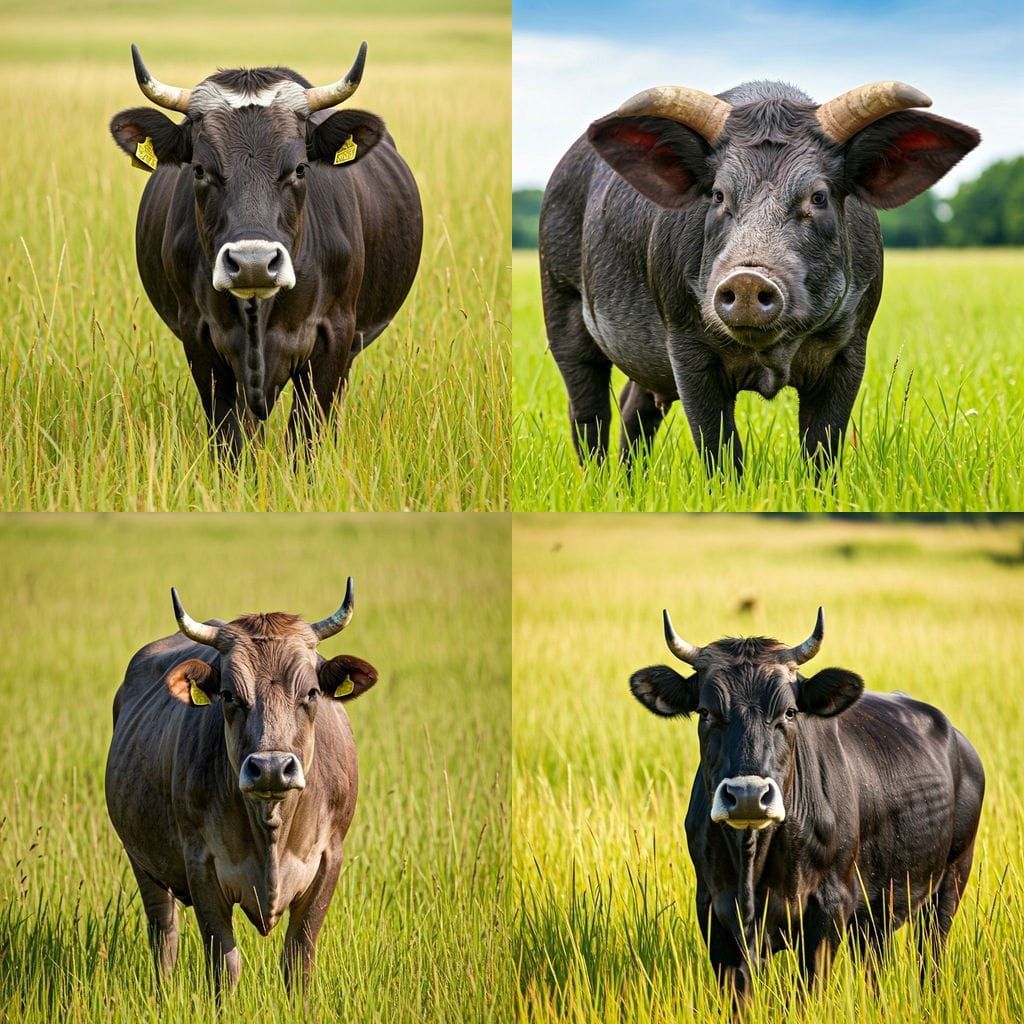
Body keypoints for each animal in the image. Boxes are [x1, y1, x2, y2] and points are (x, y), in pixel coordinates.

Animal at [105, 579, 378, 993]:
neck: (271, 830)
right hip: (143, 862)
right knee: (164, 935)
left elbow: (298, 958)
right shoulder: (201, 864)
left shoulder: (329, 858)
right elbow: (224, 963)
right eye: (229, 695)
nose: (271, 768)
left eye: (312, 693)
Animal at [108, 44, 422, 454]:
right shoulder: (200, 339)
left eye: (300, 168)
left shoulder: (334, 337)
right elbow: (230, 441)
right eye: (200, 169)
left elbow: (305, 441)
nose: (253, 264)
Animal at [540, 80, 980, 475]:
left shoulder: (851, 346)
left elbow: (822, 448)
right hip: (559, 296)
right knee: (588, 411)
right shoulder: (684, 342)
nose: (749, 278)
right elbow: (718, 449)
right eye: (718, 195)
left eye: (818, 196)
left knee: (635, 406)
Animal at [628, 608, 984, 1002]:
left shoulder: (829, 907)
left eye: (789, 712)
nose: (748, 796)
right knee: (875, 962)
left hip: (951, 880)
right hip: (880, 910)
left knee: (930, 954)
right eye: (705, 712)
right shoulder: (713, 909)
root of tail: (961, 744)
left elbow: (807, 992)